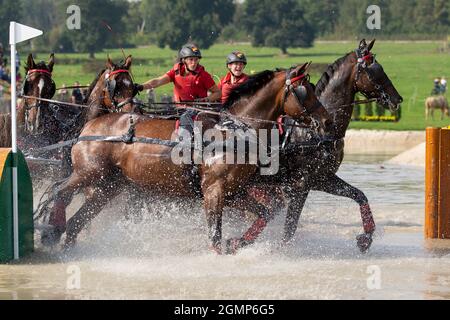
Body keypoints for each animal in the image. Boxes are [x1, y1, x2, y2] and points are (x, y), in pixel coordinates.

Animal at [40, 62, 332, 252]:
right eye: (305, 90)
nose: (327, 121)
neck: (232, 129)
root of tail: (90, 127)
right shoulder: (214, 190)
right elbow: (214, 236)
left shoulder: (235, 192)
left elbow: (265, 214)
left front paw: (238, 242)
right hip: (88, 174)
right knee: (58, 190)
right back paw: (48, 229)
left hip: (107, 187)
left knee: (76, 220)